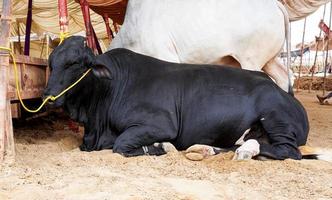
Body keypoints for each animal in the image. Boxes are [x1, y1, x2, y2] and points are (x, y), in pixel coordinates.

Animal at [44, 36, 308, 160]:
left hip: (275, 118)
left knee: (288, 151)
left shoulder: (161, 124)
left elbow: (121, 144)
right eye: (51, 61)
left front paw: (160, 147)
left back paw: (245, 151)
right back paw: (210, 149)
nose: (47, 96)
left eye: (74, 63)